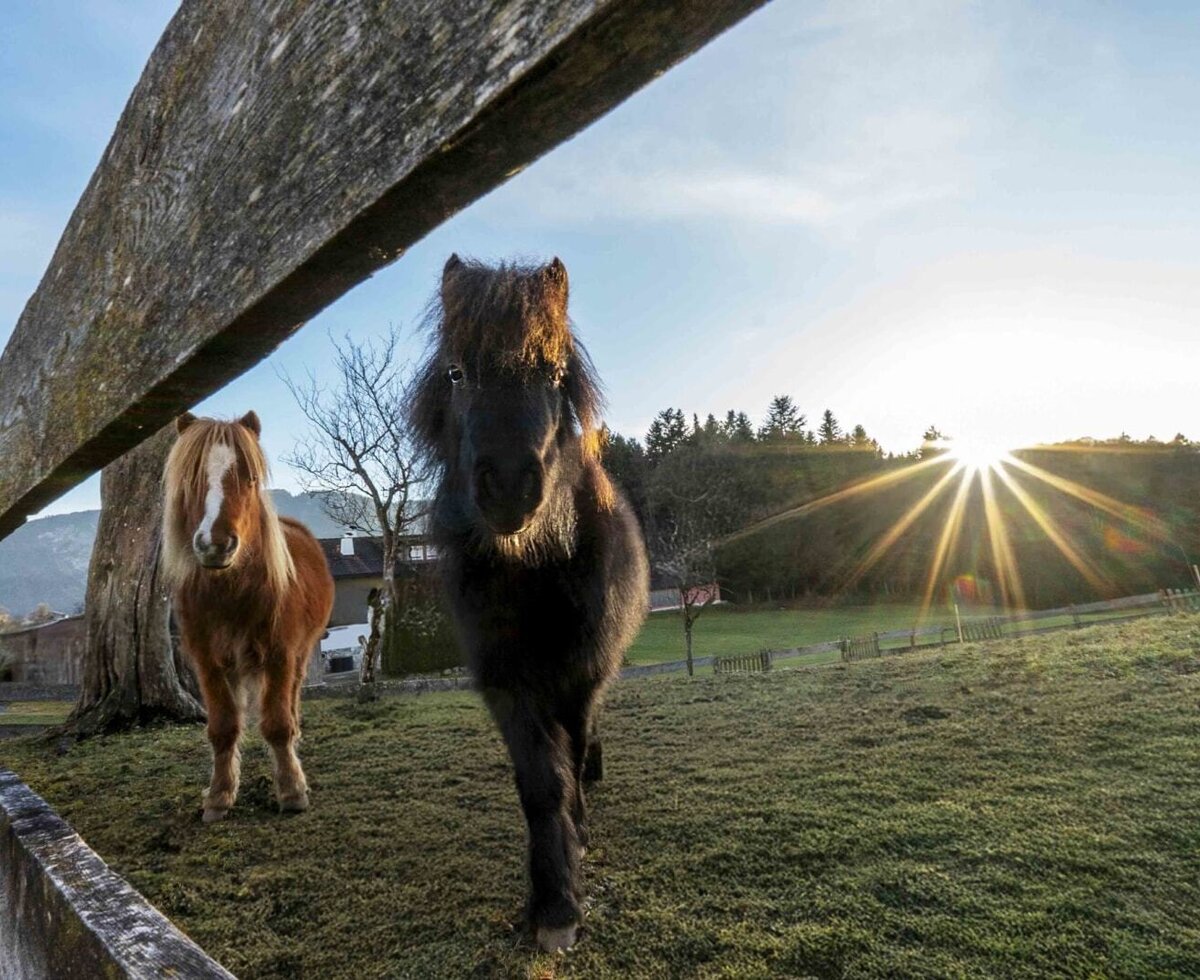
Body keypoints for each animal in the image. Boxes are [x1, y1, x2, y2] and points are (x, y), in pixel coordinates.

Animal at [161, 411, 334, 823]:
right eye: (191, 478)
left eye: (251, 478)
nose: (215, 544)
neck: (230, 594)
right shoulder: (208, 663)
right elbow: (223, 728)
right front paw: (219, 796)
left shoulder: (280, 655)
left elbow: (277, 724)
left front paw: (292, 790)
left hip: (299, 656)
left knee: (291, 700)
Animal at [411, 255, 650, 951]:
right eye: (458, 373)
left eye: (552, 374)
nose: (511, 487)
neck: (533, 570)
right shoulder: (507, 680)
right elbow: (541, 783)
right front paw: (553, 902)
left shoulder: (578, 675)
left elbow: (570, 751)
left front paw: (576, 855)